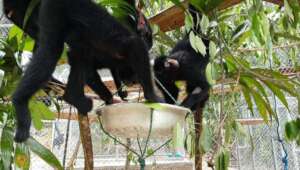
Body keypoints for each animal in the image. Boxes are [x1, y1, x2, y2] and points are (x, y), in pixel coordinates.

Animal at [3, 0, 162, 142]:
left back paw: (72, 97)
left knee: (78, 53)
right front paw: (153, 97)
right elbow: (135, 45)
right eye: (134, 79)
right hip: (55, 8)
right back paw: (20, 102)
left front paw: (114, 97)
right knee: (52, 50)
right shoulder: (121, 49)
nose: (131, 82)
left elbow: (88, 68)